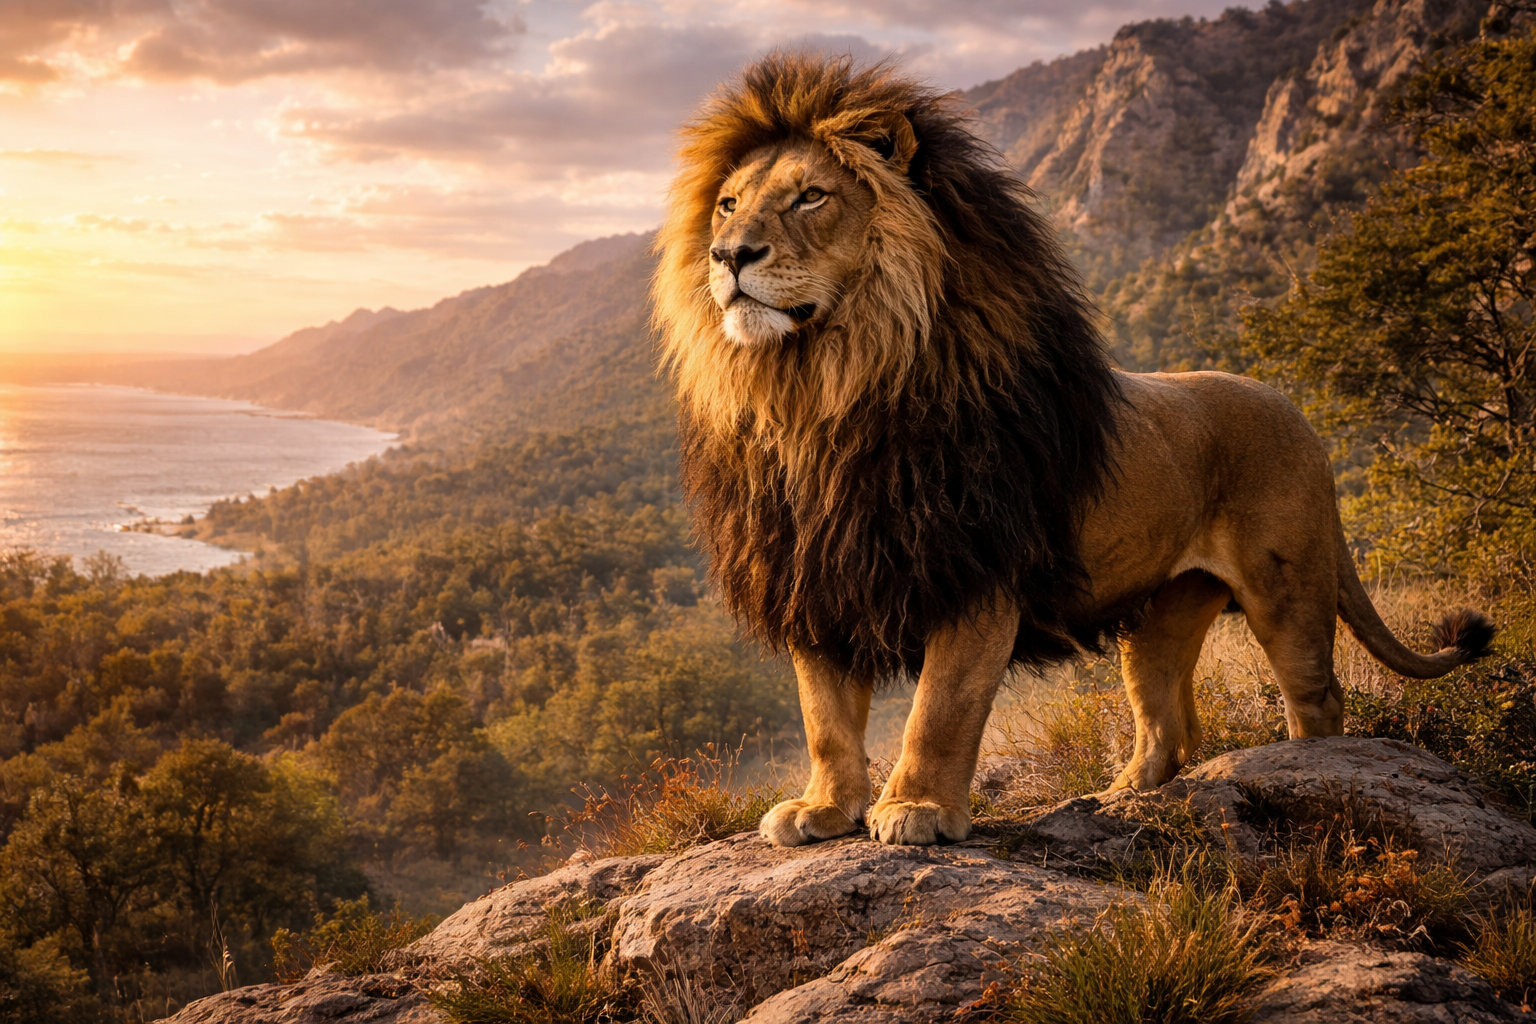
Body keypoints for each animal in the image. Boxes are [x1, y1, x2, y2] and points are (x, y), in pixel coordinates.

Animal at [652, 54, 1496, 848]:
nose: (729, 254)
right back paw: (1119, 801)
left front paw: (917, 808)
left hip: (1287, 588)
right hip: (1160, 616)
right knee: (1170, 727)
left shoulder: (980, 573)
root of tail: (1296, 410)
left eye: (811, 197)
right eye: (728, 204)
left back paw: (1300, 772)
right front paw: (826, 811)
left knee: (1317, 700)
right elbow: (824, 718)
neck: (821, 394)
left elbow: (939, 708)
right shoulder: (815, 577)